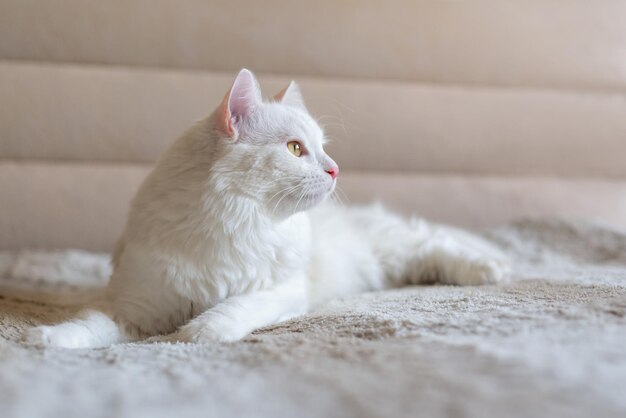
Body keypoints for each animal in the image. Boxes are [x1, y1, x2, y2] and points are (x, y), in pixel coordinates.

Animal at [23, 69, 508, 350]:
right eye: (295, 149)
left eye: (321, 148)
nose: (335, 169)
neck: (233, 222)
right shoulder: (135, 306)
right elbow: (93, 324)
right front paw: (49, 338)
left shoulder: (282, 290)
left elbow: (232, 309)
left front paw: (195, 333)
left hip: (390, 248)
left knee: (436, 243)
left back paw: (492, 270)